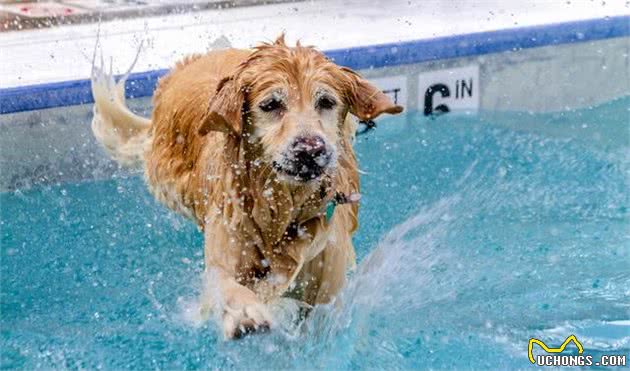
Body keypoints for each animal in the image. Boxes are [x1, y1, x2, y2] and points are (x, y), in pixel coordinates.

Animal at [90, 35, 402, 340]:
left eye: (326, 102)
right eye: (271, 105)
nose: (310, 149)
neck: (282, 211)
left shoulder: (325, 287)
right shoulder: (226, 248)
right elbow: (225, 285)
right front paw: (244, 313)